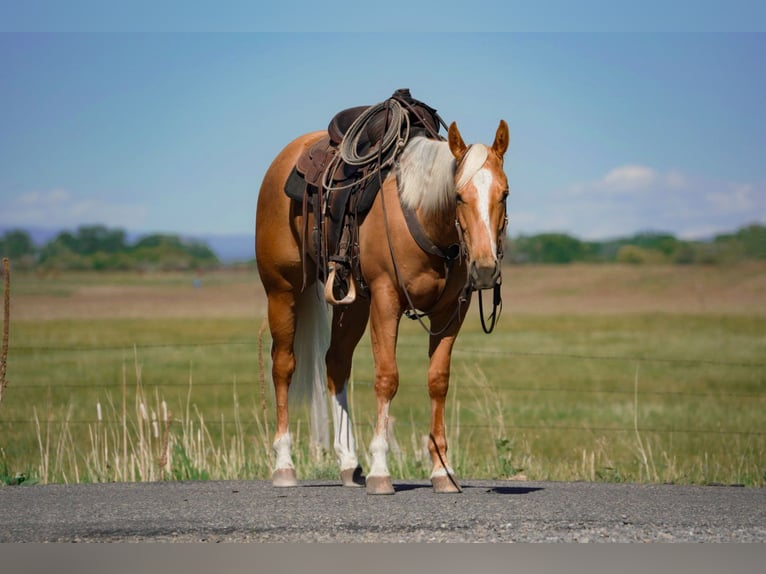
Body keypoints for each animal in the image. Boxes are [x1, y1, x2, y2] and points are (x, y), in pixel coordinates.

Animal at [255, 104, 509, 494]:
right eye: (459, 196)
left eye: (504, 194)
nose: (484, 267)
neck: (422, 215)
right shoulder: (386, 302)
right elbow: (387, 377)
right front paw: (380, 469)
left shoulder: (451, 311)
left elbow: (438, 381)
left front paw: (442, 471)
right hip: (281, 291)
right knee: (283, 366)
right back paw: (284, 464)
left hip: (353, 304)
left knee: (336, 363)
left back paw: (348, 463)